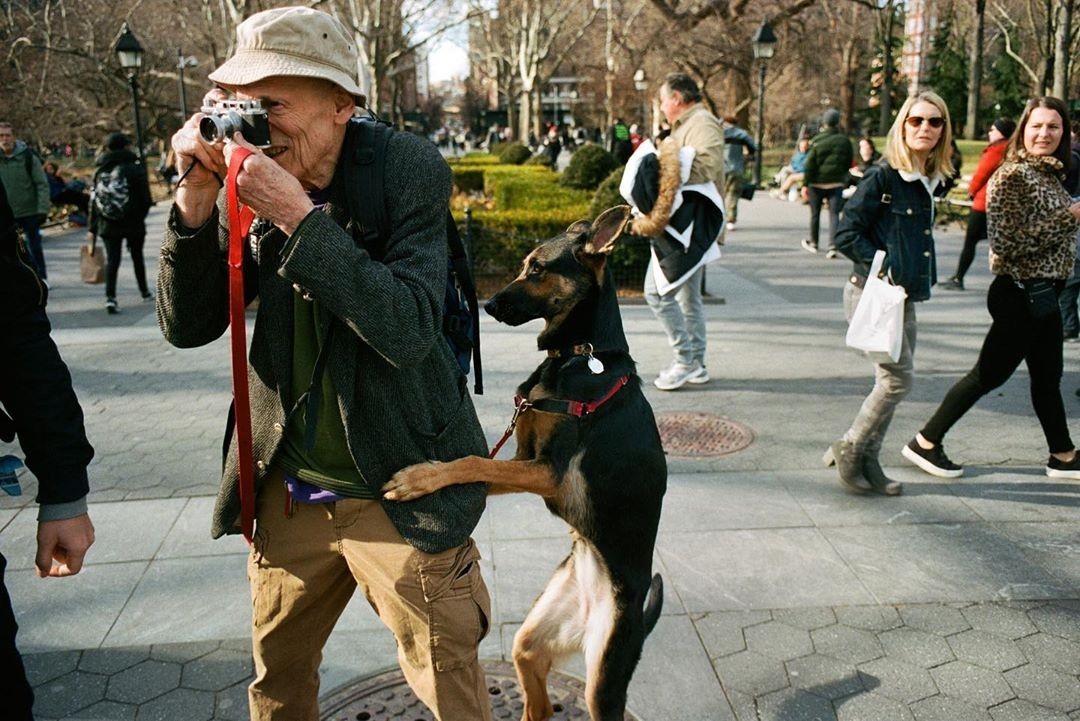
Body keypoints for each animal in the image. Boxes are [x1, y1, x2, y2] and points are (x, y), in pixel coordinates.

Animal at [384, 205, 660, 716]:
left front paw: (421, 478)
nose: (488, 306)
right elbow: (480, 464)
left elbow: (474, 462)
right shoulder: (523, 457)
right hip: (533, 640)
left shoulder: (548, 472)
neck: (582, 356)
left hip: (604, 680)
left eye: (537, 269)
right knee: (539, 700)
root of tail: (594, 610)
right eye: (523, 265)